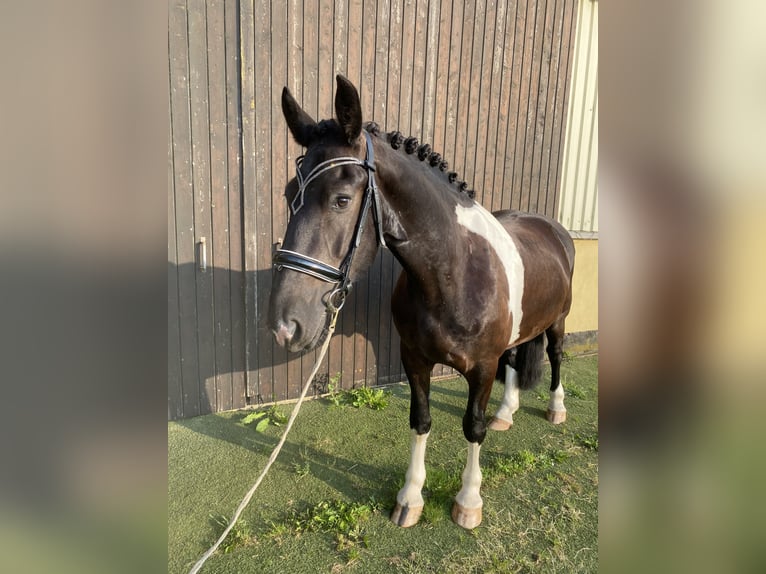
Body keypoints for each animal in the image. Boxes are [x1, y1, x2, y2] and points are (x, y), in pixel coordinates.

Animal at [268, 75, 575, 529]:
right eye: (291, 194)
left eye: (341, 199)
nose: (285, 325)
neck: (454, 274)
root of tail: (554, 228)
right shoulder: (414, 359)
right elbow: (421, 420)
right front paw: (410, 497)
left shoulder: (482, 369)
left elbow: (473, 427)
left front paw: (468, 500)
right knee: (517, 359)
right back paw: (507, 412)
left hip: (558, 322)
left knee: (554, 356)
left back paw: (556, 408)